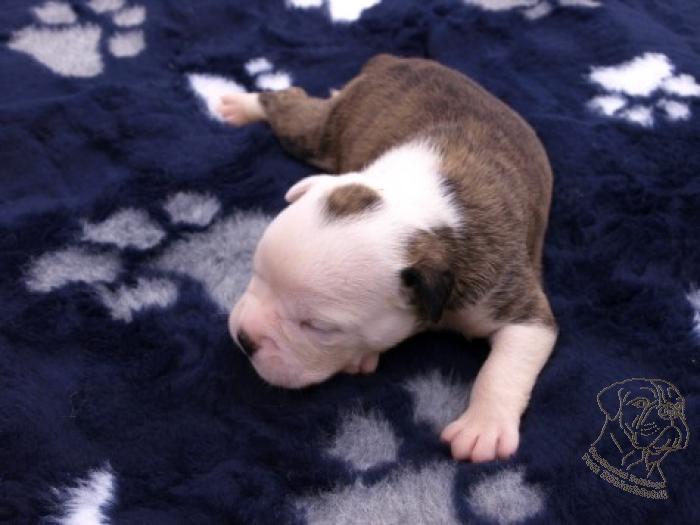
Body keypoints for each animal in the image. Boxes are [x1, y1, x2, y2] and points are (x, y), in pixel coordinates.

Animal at [220, 54, 557, 462]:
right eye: (256, 275)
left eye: (318, 327)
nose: (245, 337)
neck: (417, 209)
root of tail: (396, 60)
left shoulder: (511, 299)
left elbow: (506, 365)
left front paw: (483, 428)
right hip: (323, 131)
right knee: (290, 103)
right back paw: (239, 105)